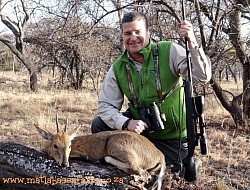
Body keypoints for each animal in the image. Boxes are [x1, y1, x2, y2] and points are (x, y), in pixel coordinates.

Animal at [34, 116, 164, 189]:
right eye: (55, 145)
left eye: (69, 145)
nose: (65, 163)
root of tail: (160, 155)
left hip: (114, 144)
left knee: (140, 171)